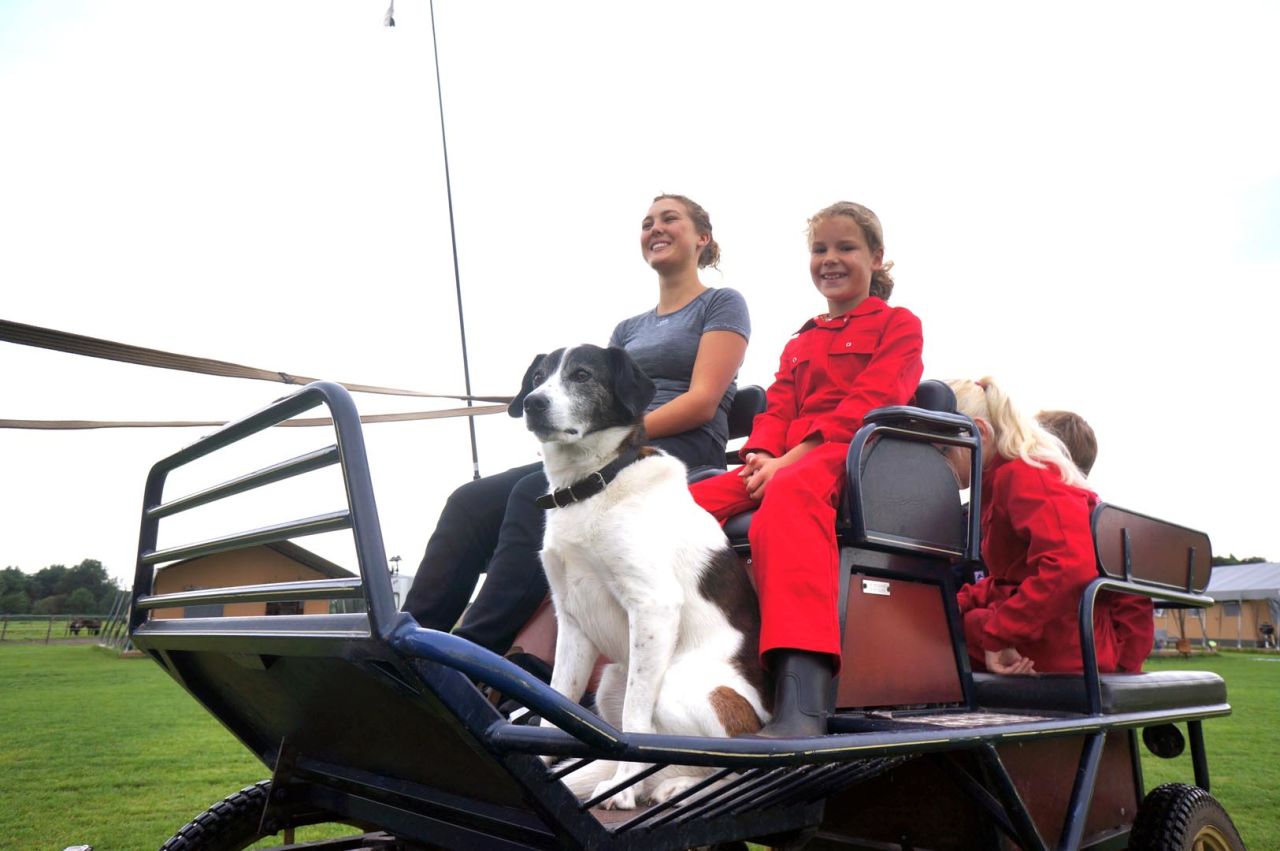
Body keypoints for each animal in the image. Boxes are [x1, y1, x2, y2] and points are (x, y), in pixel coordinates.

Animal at [509, 345, 768, 808]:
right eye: (537, 377)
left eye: (582, 375)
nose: (533, 403)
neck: (591, 486)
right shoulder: (571, 622)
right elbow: (555, 707)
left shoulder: (653, 606)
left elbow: (634, 724)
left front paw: (624, 790)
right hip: (611, 678)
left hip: (676, 686)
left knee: (731, 769)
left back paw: (676, 787)